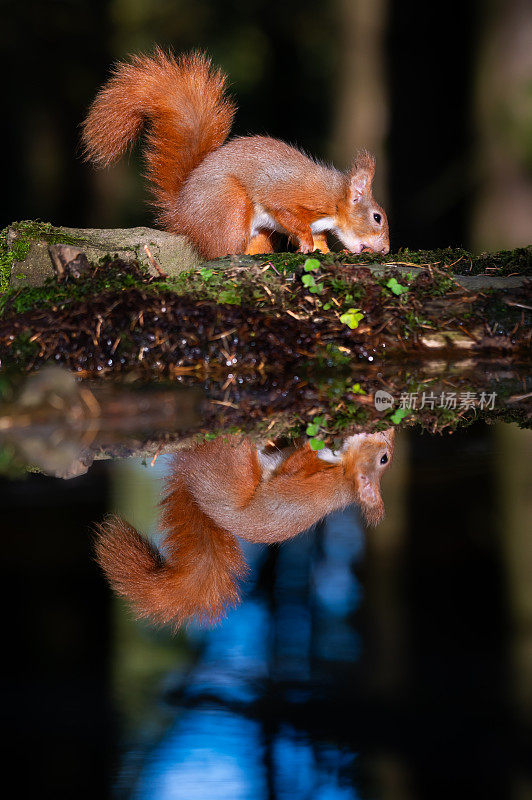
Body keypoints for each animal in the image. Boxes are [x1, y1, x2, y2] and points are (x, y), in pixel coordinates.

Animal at [84, 49, 390, 260]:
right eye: (377, 217)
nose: (386, 250)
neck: (334, 200)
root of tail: (181, 215)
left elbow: (320, 240)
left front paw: (325, 252)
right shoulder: (292, 195)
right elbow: (291, 217)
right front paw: (304, 243)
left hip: (258, 233)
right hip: (231, 207)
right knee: (222, 249)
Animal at [95, 428, 392, 628]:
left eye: (384, 458)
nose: (386, 429)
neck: (343, 474)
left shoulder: (310, 478)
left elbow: (296, 466)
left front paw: (312, 439)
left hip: (229, 466)